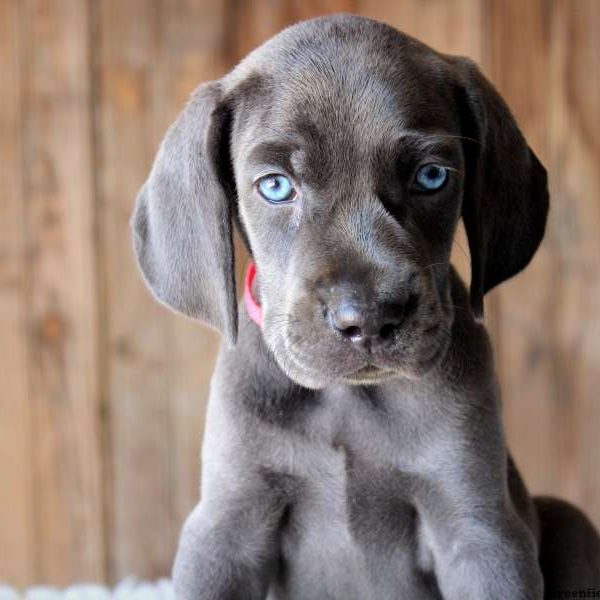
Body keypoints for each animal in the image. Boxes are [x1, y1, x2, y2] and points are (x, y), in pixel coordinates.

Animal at [131, 14, 600, 600]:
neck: (348, 403)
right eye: (276, 186)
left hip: (568, 518)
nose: (369, 319)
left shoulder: (479, 528)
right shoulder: (226, 526)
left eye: (431, 176)